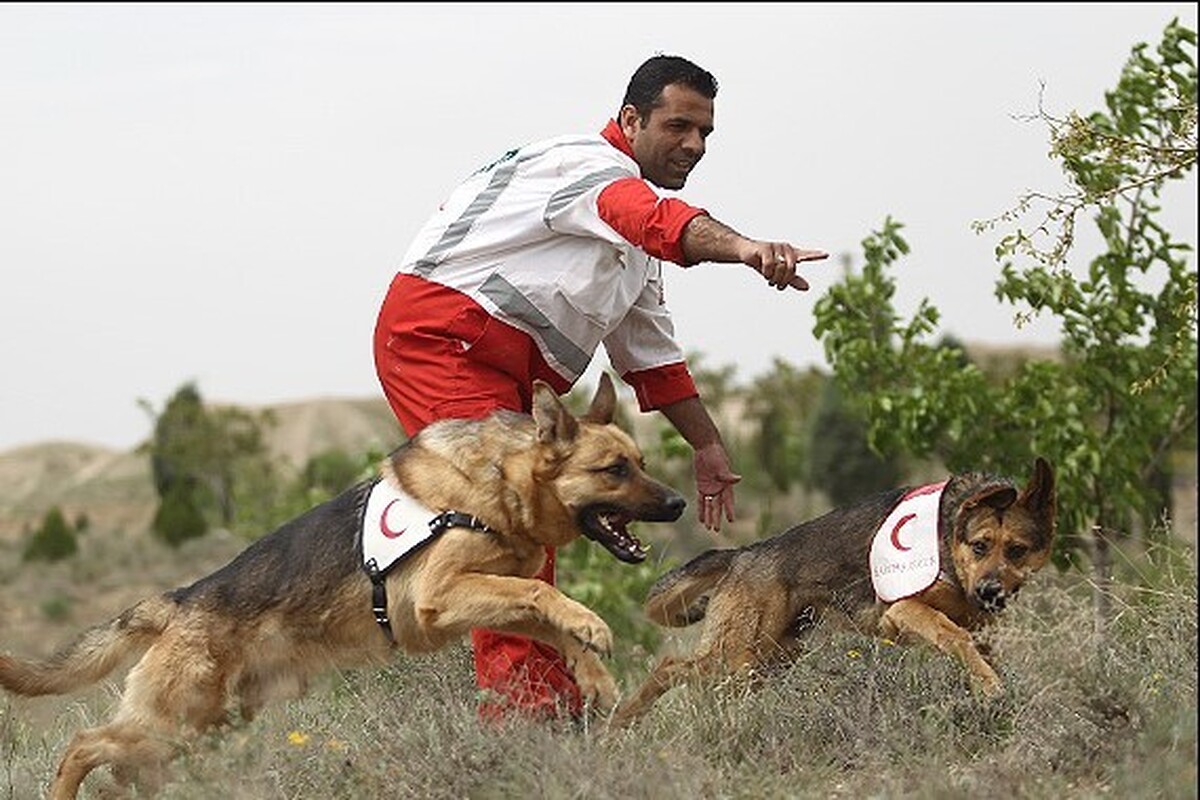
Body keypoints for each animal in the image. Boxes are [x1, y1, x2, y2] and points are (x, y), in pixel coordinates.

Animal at [0, 373, 685, 800]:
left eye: (642, 463)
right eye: (614, 470)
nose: (680, 504)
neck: (498, 484)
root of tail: (180, 601)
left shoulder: (483, 596)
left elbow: (547, 620)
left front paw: (593, 670)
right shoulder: (442, 596)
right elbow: (547, 600)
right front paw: (592, 630)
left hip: (196, 734)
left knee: (111, 774)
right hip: (173, 726)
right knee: (80, 746)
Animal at [610, 457, 1056, 727]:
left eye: (1016, 550)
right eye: (980, 545)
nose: (990, 591)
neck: (951, 538)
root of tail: (744, 554)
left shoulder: (979, 627)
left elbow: (978, 649)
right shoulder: (904, 611)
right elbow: (956, 637)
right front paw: (991, 689)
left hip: (769, 660)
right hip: (737, 657)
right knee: (669, 666)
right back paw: (621, 722)